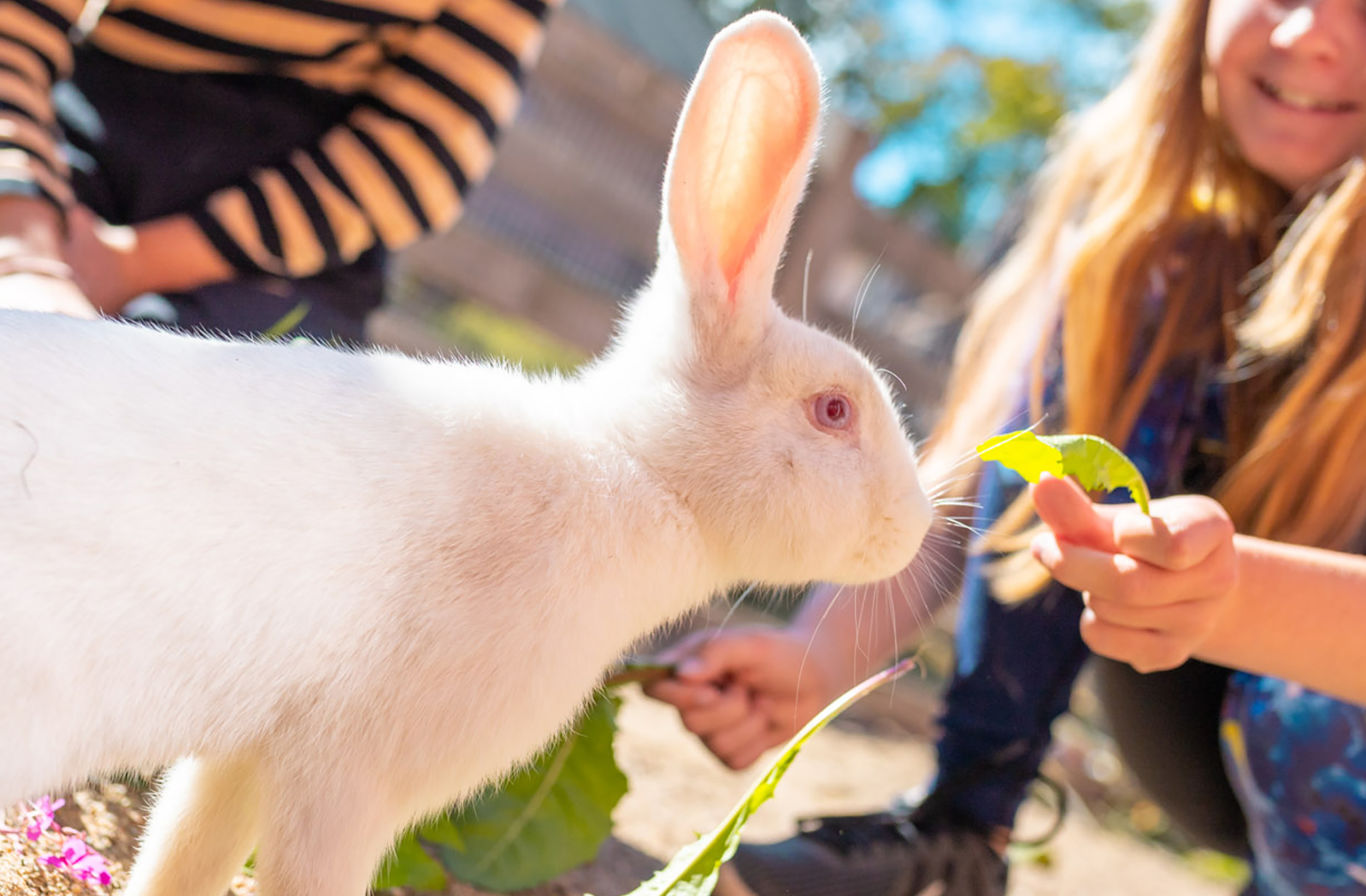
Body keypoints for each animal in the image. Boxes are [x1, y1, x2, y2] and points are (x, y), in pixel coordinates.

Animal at [0, 8, 928, 896]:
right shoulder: (348, 776)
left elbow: (186, 852)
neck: (635, 469)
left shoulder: (243, 755)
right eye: (834, 411)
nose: (919, 527)